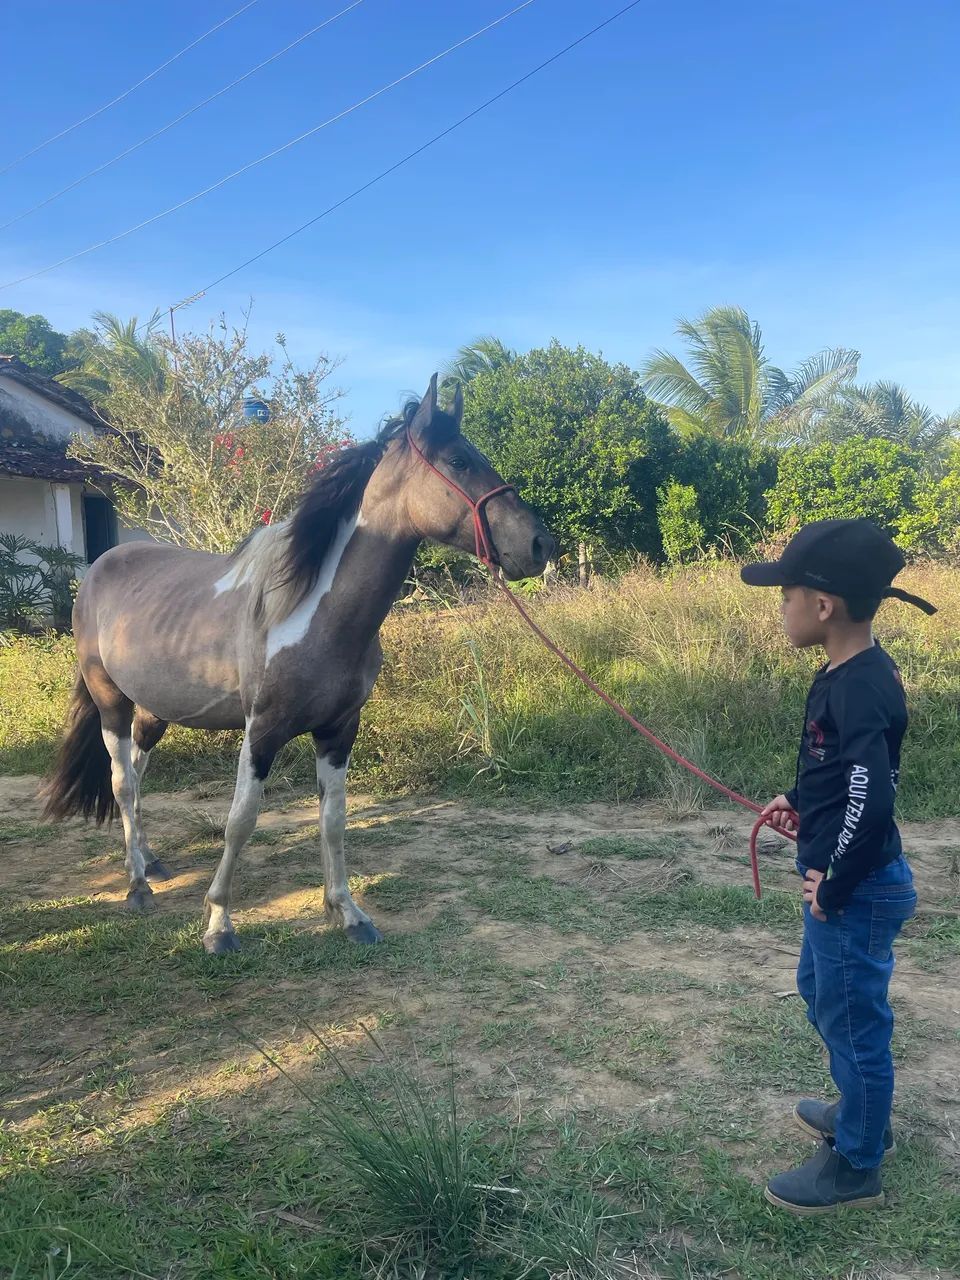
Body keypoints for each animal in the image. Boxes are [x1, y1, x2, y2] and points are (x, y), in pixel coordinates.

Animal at [42, 376, 555, 954]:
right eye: (460, 461)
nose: (542, 543)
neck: (313, 610)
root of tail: (99, 568)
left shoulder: (339, 729)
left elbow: (332, 820)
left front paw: (348, 913)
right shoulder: (262, 731)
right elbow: (240, 821)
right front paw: (219, 924)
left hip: (155, 709)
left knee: (135, 770)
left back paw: (150, 862)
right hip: (111, 700)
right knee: (122, 783)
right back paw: (136, 887)